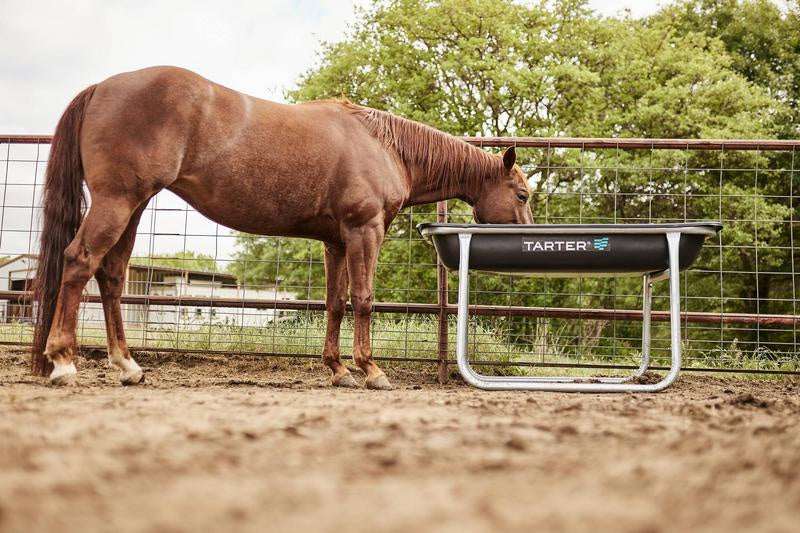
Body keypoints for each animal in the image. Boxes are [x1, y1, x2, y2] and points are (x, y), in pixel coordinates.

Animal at [31, 66, 533, 390]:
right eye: (523, 196)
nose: (524, 239)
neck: (384, 145)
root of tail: (101, 87)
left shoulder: (336, 241)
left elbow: (335, 303)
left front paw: (338, 370)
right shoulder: (365, 231)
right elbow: (364, 299)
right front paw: (371, 370)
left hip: (132, 207)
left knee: (111, 275)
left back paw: (128, 366)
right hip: (117, 202)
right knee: (78, 261)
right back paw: (64, 362)